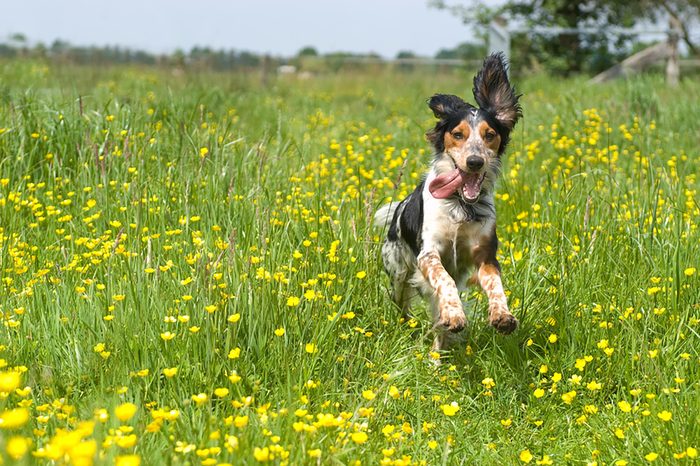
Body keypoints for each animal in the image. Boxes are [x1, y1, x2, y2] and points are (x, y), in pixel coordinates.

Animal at [378, 52, 520, 352]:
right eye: (457, 134)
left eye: (490, 135)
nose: (475, 161)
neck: (460, 206)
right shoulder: (429, 253)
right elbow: (443, 279)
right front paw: (455, 314)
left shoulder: (485, 255)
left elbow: (495, 284)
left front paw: (502, 315)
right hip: (398, 271)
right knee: (403, 301)